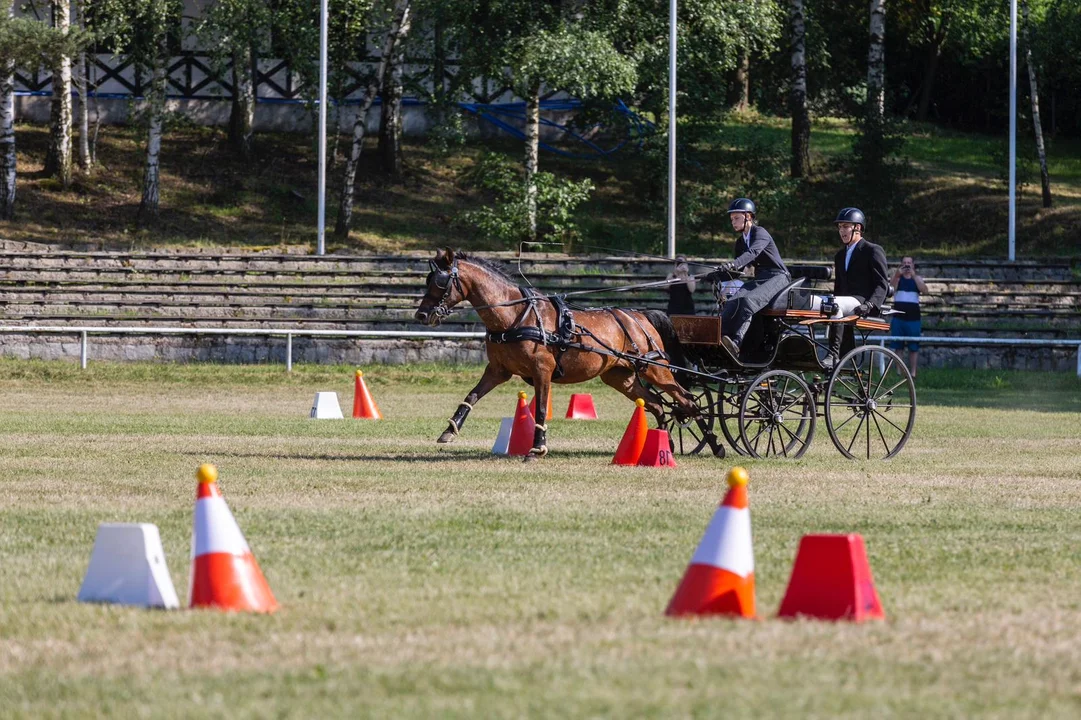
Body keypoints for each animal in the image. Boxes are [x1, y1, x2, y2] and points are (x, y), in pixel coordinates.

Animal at [408, 249, 713, 456]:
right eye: (428, 280)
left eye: (441, 282)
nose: (421, 315)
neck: (515, 316)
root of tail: (639, 315)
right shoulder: (498, 370)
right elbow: (471, 396)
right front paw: (449, 431)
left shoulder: (542, 371)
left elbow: (542, 409)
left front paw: (537, 448)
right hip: (620, 377)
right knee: (657, 404)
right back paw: (665, 444)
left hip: (656, 368)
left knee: (685, 400)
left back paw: (714, 443)